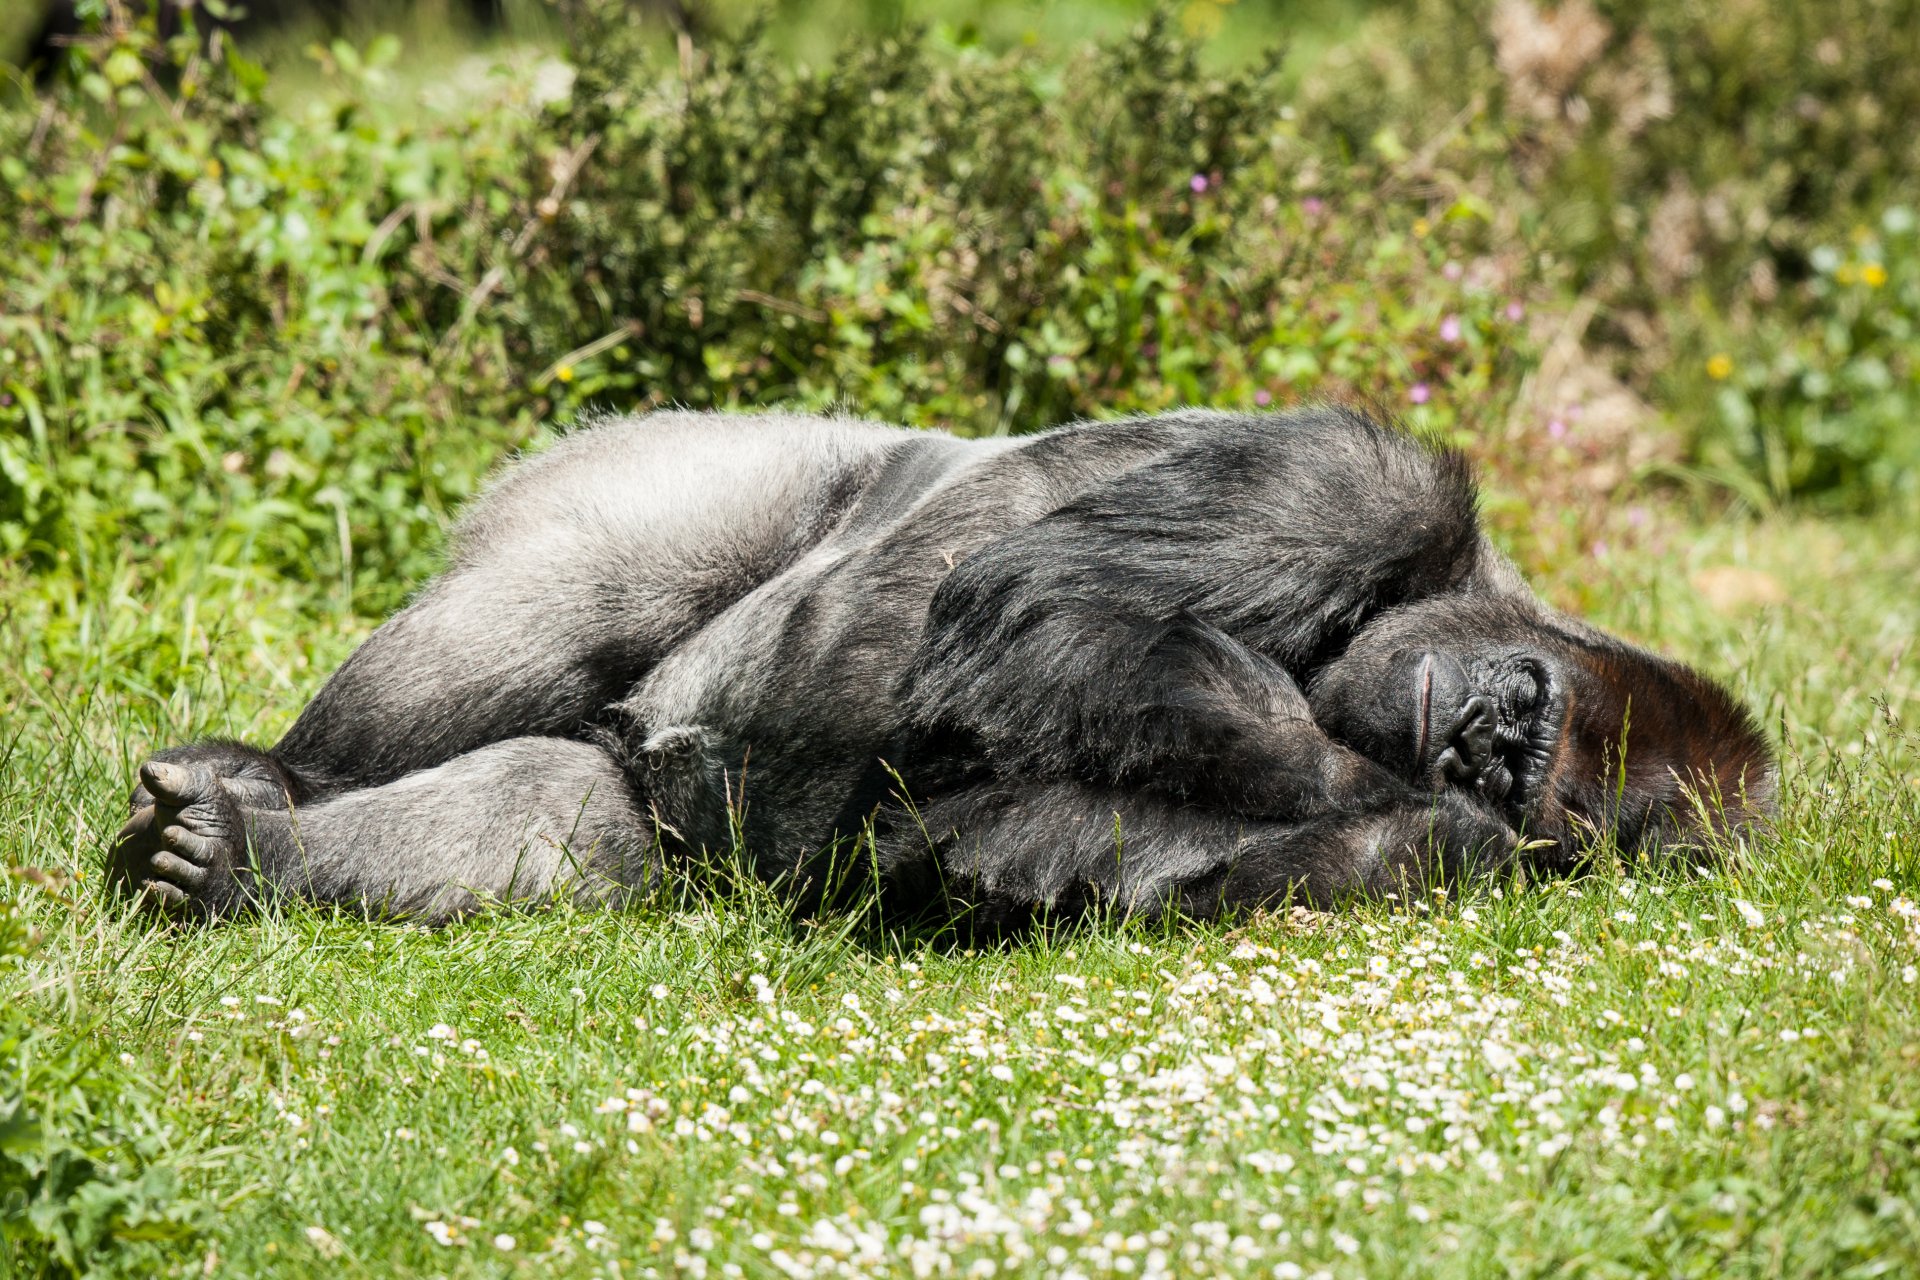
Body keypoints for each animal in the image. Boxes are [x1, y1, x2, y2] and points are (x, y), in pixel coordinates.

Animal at [107, 406, 1776, 926]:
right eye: (1528, 710)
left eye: (1536, 774)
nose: (1483, 747)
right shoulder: (1363, 484)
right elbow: (1044, 600)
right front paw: (1362, 770)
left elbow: (1005, 846)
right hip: (680, 463)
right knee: (562, 602)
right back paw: (279, 777)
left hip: (647, 798)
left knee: (556, 825)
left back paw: (245, 859)